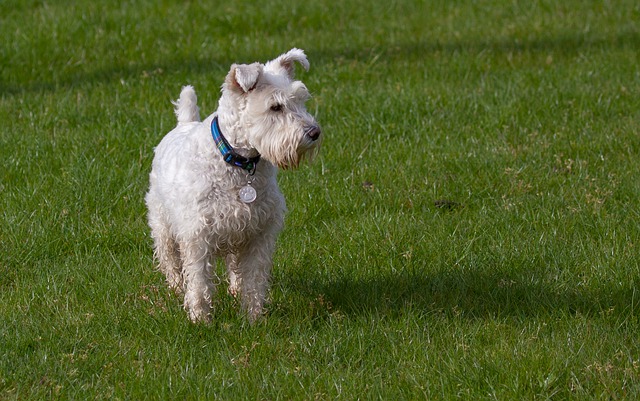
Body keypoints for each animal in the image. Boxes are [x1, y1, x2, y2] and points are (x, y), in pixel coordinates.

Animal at [148, 48, 322, 320]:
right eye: (275, 106)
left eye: (300, 99)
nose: (314, 132)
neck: (240, 164)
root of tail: (183, 123)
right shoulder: (197, 236)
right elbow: (199, 282)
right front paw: (200, 319)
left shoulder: (259, 234)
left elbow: (254, 279)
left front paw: (253, 317)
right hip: (162, 224)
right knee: (170, 260)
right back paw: (176, 288)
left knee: (234, 268)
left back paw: (233, 290)